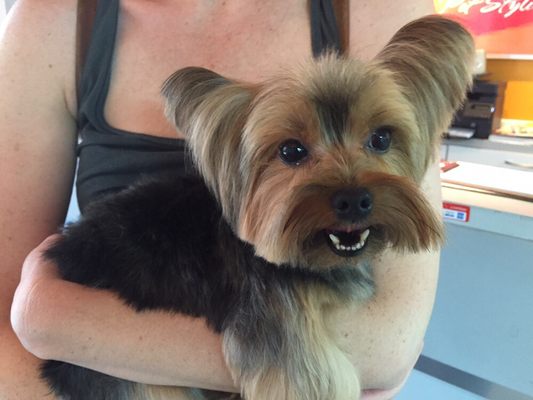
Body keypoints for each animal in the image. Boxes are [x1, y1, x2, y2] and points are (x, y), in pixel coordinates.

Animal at [41, 15, 474, 400]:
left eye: (381, 138)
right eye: (291, 151)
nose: (353, 199)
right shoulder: (274, 322)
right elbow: (313, 381)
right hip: (120, 374)